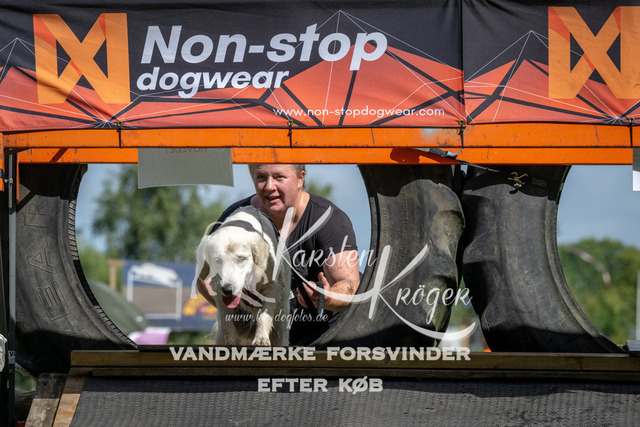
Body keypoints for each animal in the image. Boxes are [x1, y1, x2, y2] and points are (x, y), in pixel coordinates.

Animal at [193, 206, 290, 346]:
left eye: (241, 259)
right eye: (217, 260)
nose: (228, 289)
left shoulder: (272, 286)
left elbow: (264, 316)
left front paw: (261, 339)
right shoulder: (218, 288)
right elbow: (226, 322)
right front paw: (231, 342)